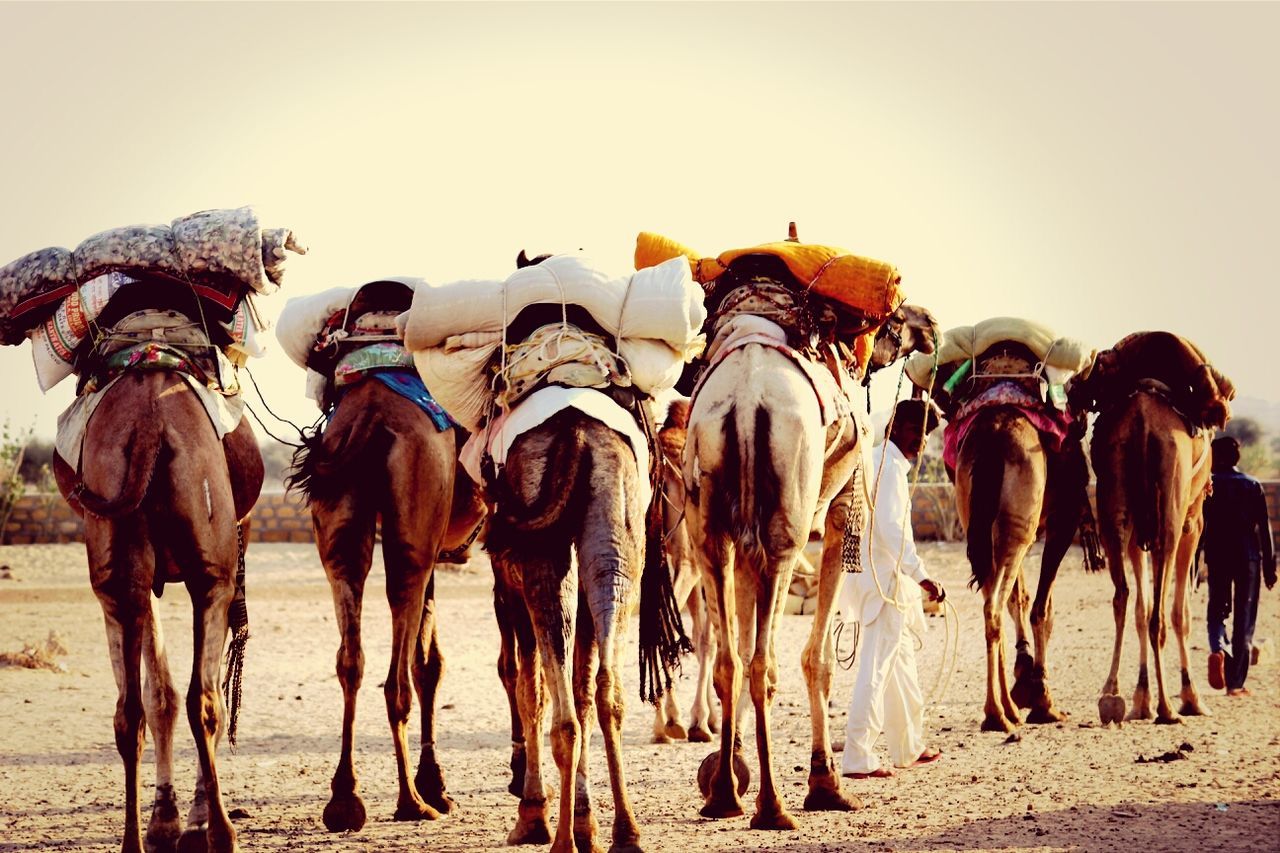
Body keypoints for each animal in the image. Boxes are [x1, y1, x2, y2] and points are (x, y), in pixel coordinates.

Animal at [53, 371, 263, 850]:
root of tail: (149, 424)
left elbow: (157, 694)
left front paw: (165, 820)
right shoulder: (232, 549)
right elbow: (200, 692)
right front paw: (186, 820)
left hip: (116, 565)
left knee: (129, 712)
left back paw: (135, 839)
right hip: (212, 566)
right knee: (202, 699)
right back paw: (218, 831)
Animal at [286, 327, 483, 824]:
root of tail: (369, 418)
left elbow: (429, 661)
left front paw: (437, 783)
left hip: (344, 519)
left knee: (351, 657)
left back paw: (344, 799)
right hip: (415, 515)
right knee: (396, 676)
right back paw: (410, 801)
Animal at [686, 263, 936, 824]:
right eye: (897, 311)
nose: (930, 323)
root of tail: (745, 398)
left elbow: (737, 650)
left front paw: (728, 766)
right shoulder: (844, 504)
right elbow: (817, 660)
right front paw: (826, 784)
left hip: (707, 522)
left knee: (732, 660)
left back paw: (724, 797)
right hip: (788, 521)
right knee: (765, 662)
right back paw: (774, 806)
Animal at [952, 345, 1090, 732]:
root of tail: (993, 437)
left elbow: (1023, 599)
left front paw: (1024, 681)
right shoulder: (1062, 522)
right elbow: (1043, 607)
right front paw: (1043, 699)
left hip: (982, 525)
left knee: (994, 597)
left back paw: (1004, 710)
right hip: (1018, 526)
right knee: (994, 604)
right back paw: (998, 715)